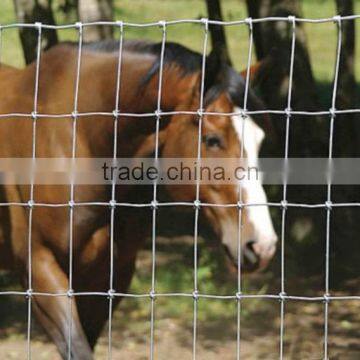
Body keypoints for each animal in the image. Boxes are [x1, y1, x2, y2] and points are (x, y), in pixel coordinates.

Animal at [0, 39, 278, 358]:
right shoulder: (40, 269)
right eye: (212, 139)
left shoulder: (108, 276)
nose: (263, 245)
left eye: (259, 140)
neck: (76, 140)